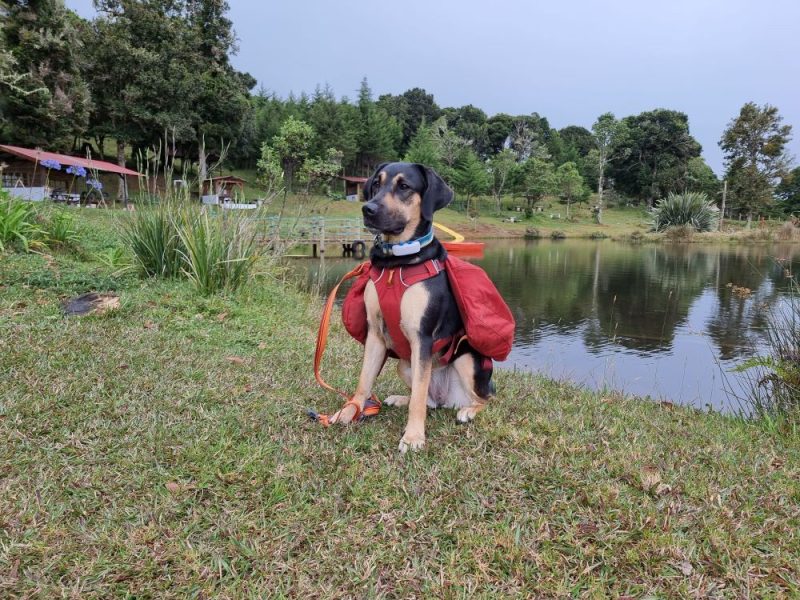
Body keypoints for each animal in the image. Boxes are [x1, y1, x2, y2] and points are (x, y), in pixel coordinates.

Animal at [326, 162, 490, 452]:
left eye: (404, 186)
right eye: (376, 184)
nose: (367, 209)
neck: (397, 263)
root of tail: (446, 397)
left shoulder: (421, 337)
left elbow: (418, 402)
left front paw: (413, 437)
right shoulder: (375, 335)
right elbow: (363, 382)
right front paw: (349, 411)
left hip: (467, 359)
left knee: (483, 400)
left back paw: (468, 411)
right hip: (404, 365)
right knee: (427, 399)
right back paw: (401, 399)